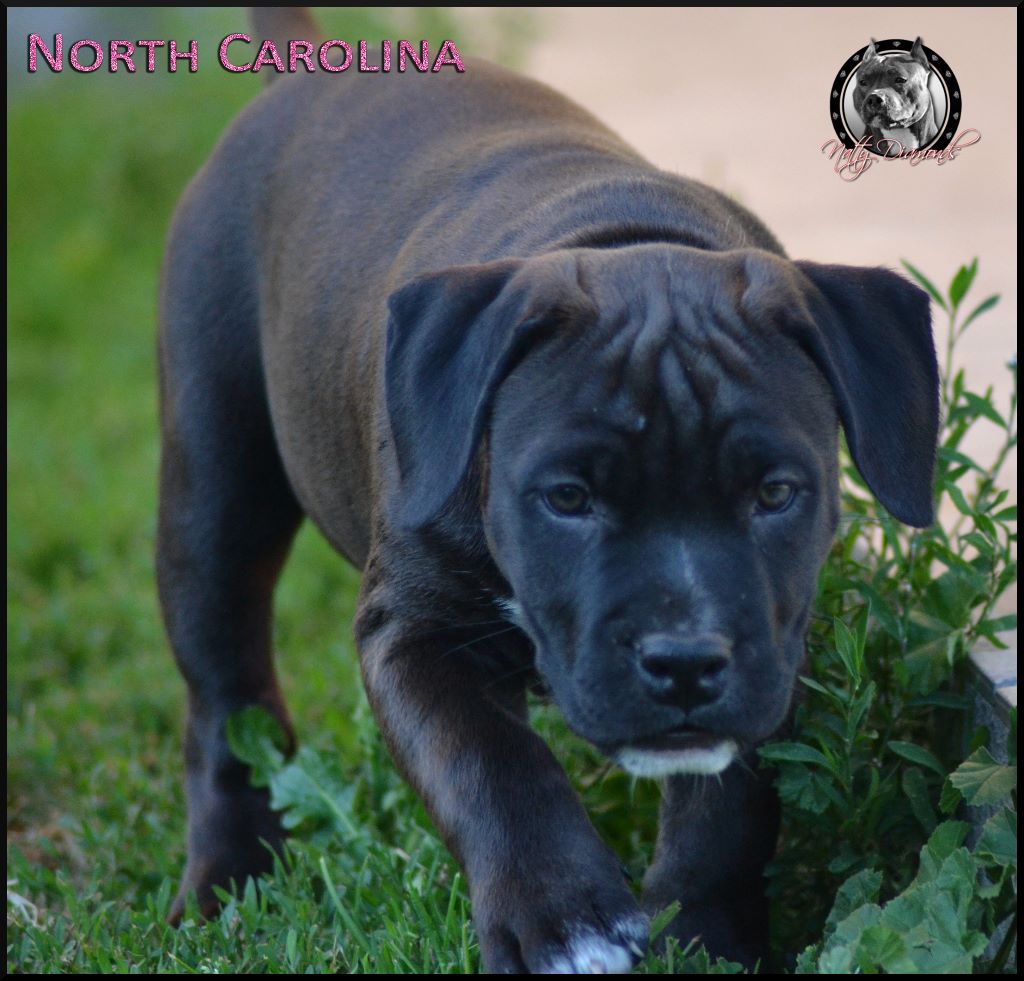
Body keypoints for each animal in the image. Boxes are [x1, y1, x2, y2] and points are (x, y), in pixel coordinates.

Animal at [156, 7, 939, 972]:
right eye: (566, 498)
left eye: (775, 494)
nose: (686, 660)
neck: (619, 242)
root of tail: (307, 67)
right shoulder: (411, 637)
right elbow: (492, 761)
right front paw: (560, 922)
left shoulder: (772, 637)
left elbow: (728, 806)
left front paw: (703, 933)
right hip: (214, 483)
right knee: (227, 697)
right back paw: (231, 873)